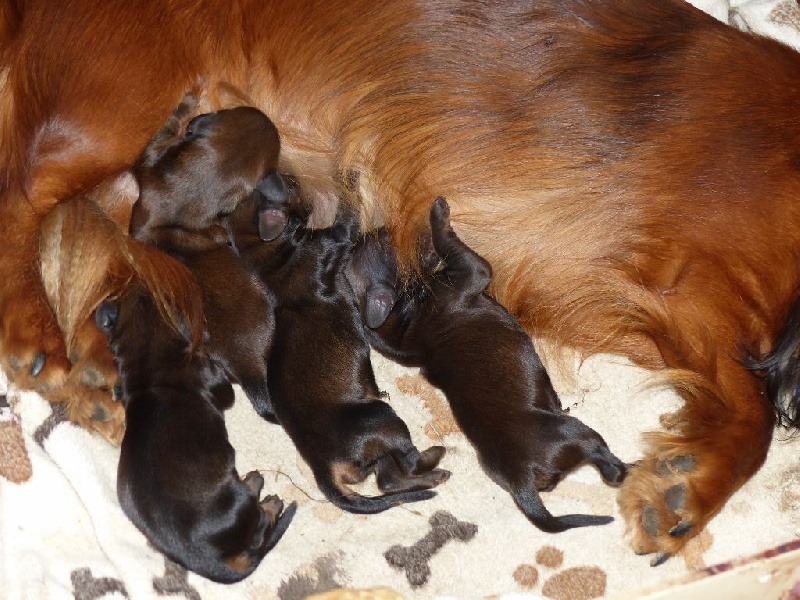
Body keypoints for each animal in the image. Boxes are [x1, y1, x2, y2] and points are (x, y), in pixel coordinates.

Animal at [94, 289, 296, 583]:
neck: (147, 359)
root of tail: (205, 557)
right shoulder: (215, 380)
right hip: (241, 505)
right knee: (260, 527)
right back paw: (264, 494)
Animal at [224, 185, 450, 513]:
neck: (273, 259)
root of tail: (323, 469)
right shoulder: (335, 239)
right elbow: (347, 217)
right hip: (382, 419)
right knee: (406, 463)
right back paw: (435, 461)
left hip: (377, 452)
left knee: (390, 480)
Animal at [347, 197, 628, 532]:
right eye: (386, 244)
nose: (390, 224)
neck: (404, 319)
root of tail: (520, 480)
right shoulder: (473, 272)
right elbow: (451, 245)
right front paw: (438, 215)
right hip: (576, 434)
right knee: (606, 463)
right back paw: (627, 466)